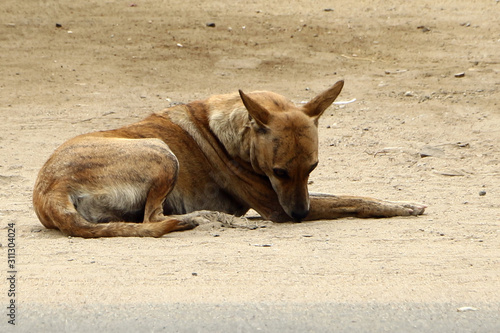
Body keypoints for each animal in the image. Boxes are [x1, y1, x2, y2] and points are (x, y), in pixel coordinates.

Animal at [33, 80, 426, 236]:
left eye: (313, 167)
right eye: (279, 172)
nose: (299, 216)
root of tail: (49, 193)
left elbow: (352, 194)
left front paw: (402, 202)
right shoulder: (276, 204)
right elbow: (352, 200)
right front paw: (400, 207)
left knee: (146, 220)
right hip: (162, 152)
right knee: (154, 217)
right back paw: (212, 219)